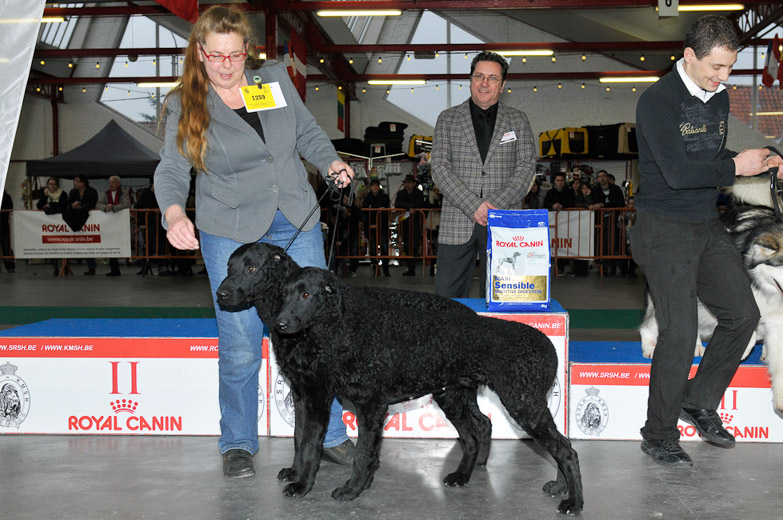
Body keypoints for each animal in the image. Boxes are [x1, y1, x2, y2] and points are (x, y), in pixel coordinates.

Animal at [213, 243, 484, 484]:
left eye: (251, 268)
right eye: (228, 267)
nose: (221, 294)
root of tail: (473, 315)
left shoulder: (318, 391)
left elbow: (310, 440)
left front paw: (303, 480)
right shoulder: (301, 391)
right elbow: (298, 437)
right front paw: (294, 472)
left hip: (450, 394)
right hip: (455, 394)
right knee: (484, 424)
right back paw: (475, 466)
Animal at [278, 268, 584, 516]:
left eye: (306, 294)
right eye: (285, 293)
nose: (279, 323)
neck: (346, 328)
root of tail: (548, 347)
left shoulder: (362, 404)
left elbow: (343, 451)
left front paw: (335, 489)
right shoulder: (314, 396)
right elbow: (303, 439)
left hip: (523, 405)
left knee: (565, 450)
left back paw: (573, 502)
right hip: (455, 397)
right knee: (478, 435)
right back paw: (468, 477)